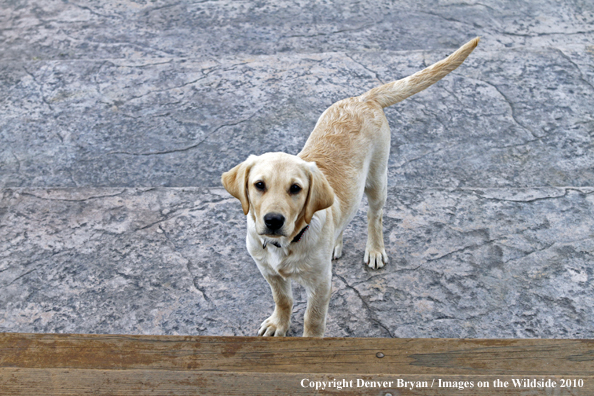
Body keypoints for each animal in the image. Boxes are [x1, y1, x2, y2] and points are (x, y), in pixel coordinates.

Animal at [221, 37, 476, 338]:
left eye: (295, 189)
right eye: (259, 185)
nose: (273, 220)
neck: (285, 245)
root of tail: (363, 98)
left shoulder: (320, 284)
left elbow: (313, 319)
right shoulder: (268, 272)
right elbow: (282, 299)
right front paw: (278, 324)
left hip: (377, 180)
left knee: (374, 216)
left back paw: (375, 250)